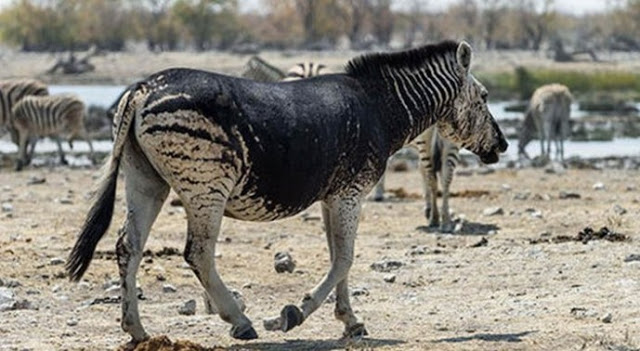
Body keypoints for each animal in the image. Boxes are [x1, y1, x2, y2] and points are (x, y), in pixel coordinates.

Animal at [65, 40, 504, 344]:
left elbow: (338, 257)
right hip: (206, 185)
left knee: (129, 247)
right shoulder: (351, 192)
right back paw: (239, 322)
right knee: (197, 253)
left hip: (146, 179)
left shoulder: (334, 195)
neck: (380, 108)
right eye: (484, 97)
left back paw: (136, 329)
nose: (502, 146)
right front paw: (294, 313)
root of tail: (142, 87)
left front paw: (350, 321)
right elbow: (345, 259)